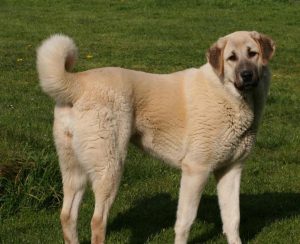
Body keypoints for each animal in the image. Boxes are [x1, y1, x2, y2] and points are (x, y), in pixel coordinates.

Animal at [37, 31, 274, 244]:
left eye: (252, 53)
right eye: (231, 58)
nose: (247, 75)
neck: (229, 95)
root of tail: (78, 83)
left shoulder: (231, 170)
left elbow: (232, 219)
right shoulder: (196, 170)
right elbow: (185, 221)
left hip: (73, 169)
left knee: (67, 216)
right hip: (110, 167)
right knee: (97, 221)